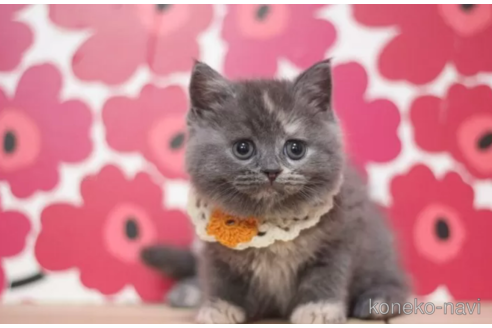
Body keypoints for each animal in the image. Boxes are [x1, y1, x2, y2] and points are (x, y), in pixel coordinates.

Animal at [141, 59, 408, 322]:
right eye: (243, 148)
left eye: (295, 148)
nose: (271, 170)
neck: (273, 219)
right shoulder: (214, 248)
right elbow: (220, 277)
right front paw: (219, 308)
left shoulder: (341, 236)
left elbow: (326, 274)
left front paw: (318, 308)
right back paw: (189, 291)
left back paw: (380, 299)